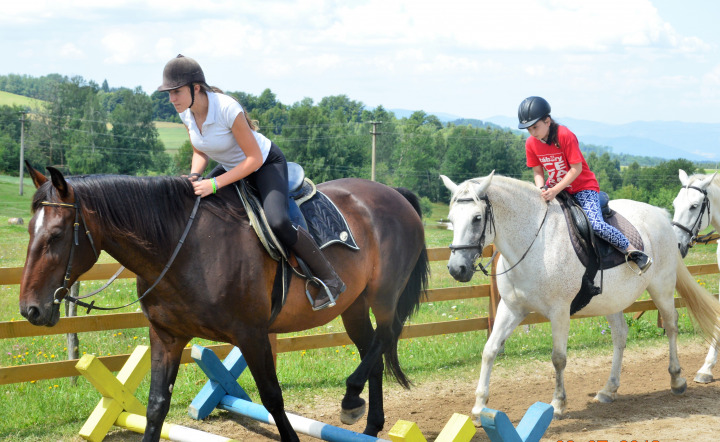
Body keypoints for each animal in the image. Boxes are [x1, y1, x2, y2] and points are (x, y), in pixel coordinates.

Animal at [19, 164, 430, 440]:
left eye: (56, 235)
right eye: (29, 231)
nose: (30, 309)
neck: (181, 246)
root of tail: (395, 194)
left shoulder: (251, 335)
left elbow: (273, 399)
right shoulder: (166, 336)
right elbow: (156, 405)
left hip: (383, 296)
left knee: (384, 338)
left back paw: (350, 398)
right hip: (354, 305)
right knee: (372, 351)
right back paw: (370, 423)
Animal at [438, 172, 720, 422]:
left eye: (477, 218)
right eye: (451, 218)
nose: (456, 269)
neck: (535, 242)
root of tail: (660, 216)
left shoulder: (560, 312)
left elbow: (558, 358)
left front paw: (557, 404)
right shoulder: (512, 309)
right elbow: (490, 350)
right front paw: (479, 407)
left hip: (662, 286)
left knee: (671, 325)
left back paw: (677, 379)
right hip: (612, 301)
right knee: (620, 335)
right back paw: (609, 389)